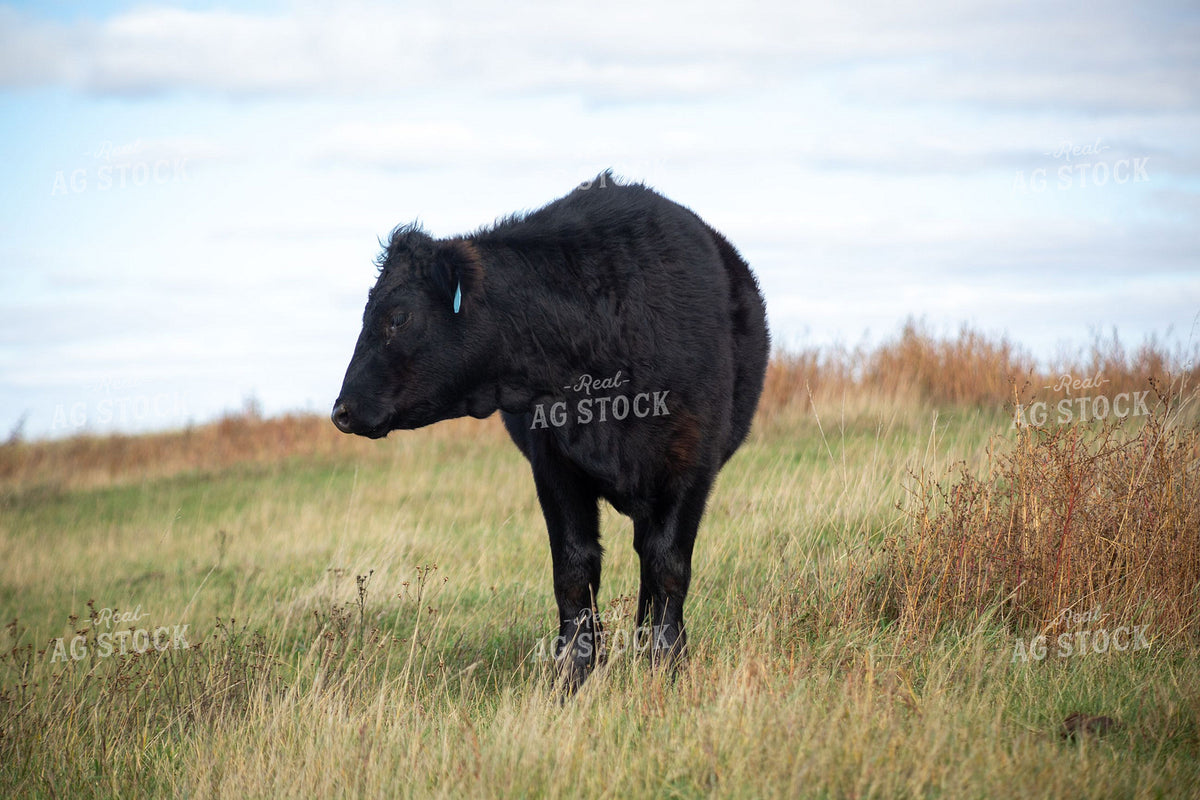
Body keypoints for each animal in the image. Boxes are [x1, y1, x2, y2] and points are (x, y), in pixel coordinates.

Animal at [332, 172, 769, 689]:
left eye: (397, 317)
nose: (341, 410)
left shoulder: (691, 462)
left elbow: (668, 566)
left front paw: (666, 665)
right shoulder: (553, 465)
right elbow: (575, 570)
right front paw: (574, 673)